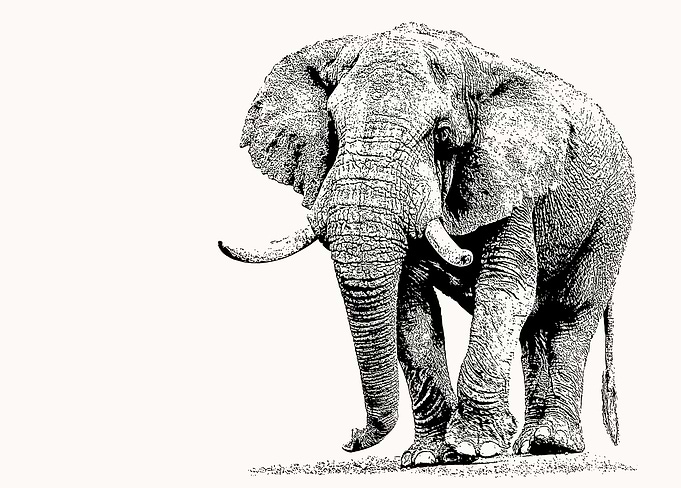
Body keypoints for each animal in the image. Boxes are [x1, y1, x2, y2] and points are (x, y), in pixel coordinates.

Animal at [218, 22, 635, 467]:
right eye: (333, 124)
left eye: (441, 134)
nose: (350, 437)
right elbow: (408, 304)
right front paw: (428, 457)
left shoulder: (514, 183)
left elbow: (503, 292)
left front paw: (475, 448)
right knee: (535, 326)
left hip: (612, 218)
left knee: (569, 311)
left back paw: (547, 444)